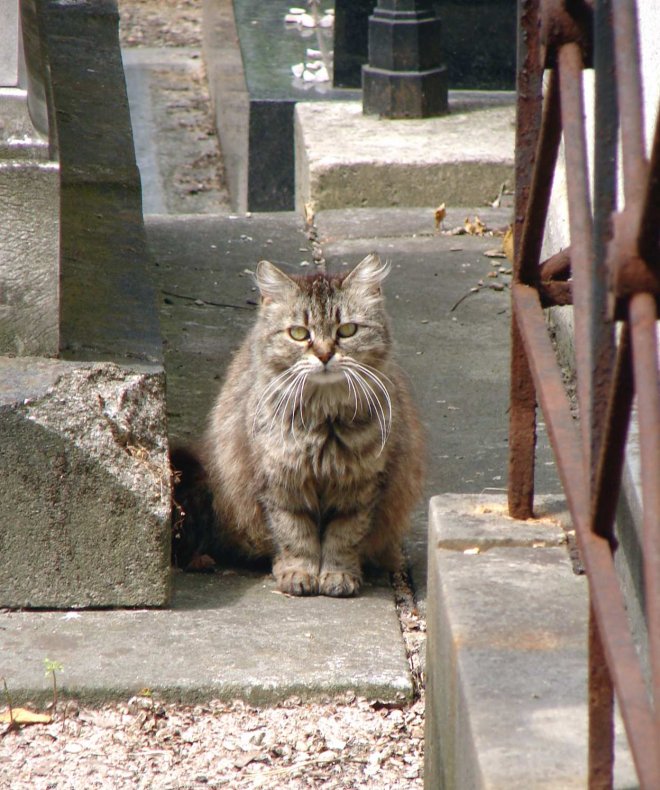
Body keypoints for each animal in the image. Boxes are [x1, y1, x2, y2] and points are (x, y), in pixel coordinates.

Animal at [193, 255, 426, 600]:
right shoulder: (281, 483)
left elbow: (343, 538)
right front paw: (299, 573)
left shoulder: (359, 487)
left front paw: (338, 575)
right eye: (300, 334)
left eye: (347, 330)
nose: (325, 354)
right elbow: (295, 536)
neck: (324, 424)